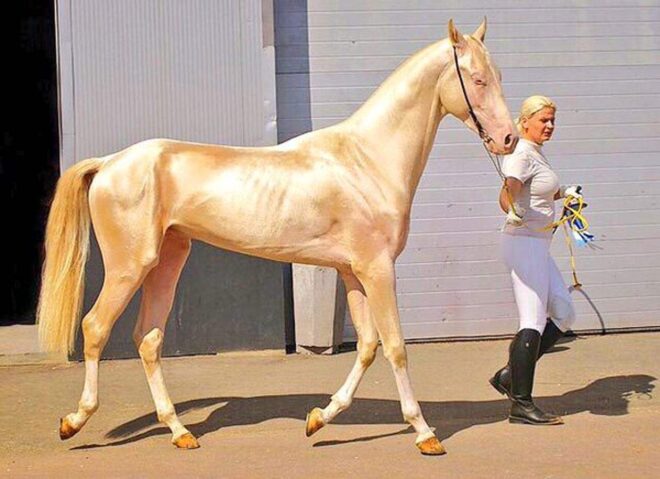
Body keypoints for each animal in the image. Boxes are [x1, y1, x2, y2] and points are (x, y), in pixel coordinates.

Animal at [37, 18, 516, 456]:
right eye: (477, 79)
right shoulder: (378, 270)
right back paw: (73, 422)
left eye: (498, 75)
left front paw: (319, 418)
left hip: (168, 260)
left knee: (148, 339)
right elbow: (395, 346)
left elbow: (366, 346)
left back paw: (180, 432)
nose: (509, 138)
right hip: (129, 266)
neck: (367, 160)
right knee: (95, 327)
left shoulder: (353, 273)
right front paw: (424, 433)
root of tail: (109, 162)